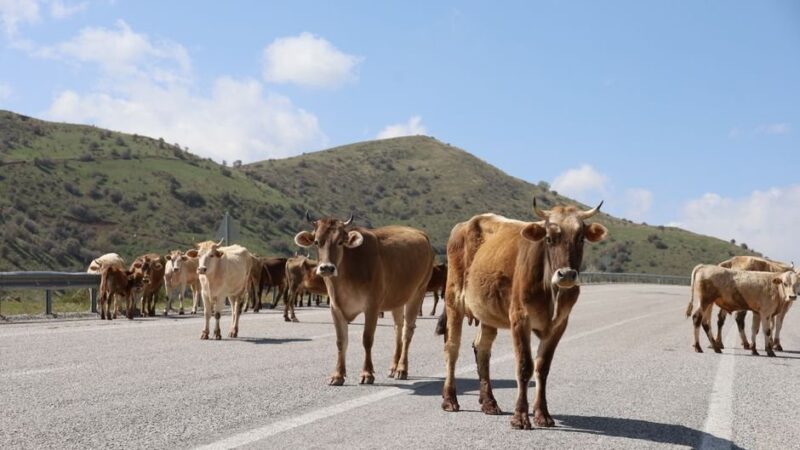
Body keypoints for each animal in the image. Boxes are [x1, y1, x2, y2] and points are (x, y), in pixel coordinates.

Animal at [294, 213, 434, 385]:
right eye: (316, 242)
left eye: (340, 242)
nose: (327, 268)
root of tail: (422, 234)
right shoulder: (336, 308)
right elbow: (341, 341)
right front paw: (337, 375)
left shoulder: (372, 306)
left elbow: (367, 339)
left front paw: (367, 373)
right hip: (397, 298)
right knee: (398, 328)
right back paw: (393, 367)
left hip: (418, 293)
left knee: (407, 331)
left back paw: (402, 369)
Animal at [439, 200, 607, 429]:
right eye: (548, 238)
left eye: (580, 238)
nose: (566, 275)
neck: (551, 292)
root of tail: (464, 224)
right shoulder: (520, 319)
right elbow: (524, 366)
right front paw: (520, 416)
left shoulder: (559, 325)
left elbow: (542, 368)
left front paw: (542, 414)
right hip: (453, 300)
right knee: (452, 348)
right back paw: (450, 399)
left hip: (487, 311)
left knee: (482, 349)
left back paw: (489, 402)